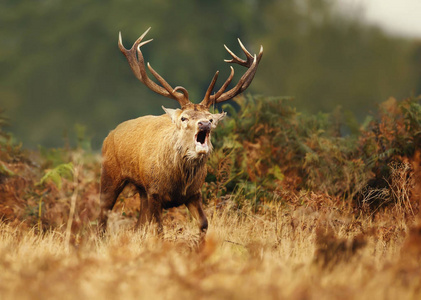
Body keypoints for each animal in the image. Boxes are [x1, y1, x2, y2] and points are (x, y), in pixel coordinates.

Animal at [99, 27, 262, 237]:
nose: (204, 124)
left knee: (137, 226)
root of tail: (110, 134)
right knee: (102, 215)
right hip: (110, 174)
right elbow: (159, 229)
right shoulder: (155, 191)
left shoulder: (194, 193)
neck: (178, 184)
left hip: (142, 191)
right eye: (184, 118)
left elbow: (204, 223)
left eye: (211, 119)